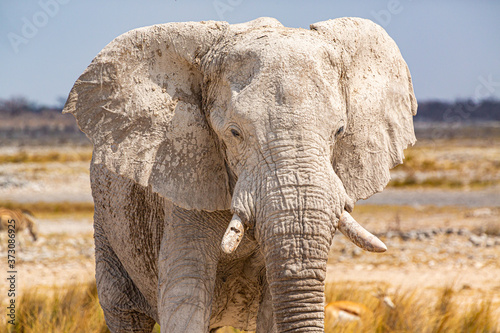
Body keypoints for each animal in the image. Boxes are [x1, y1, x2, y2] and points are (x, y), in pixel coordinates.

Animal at [62, 16, 416, 332]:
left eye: (339, 131)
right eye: (234, 133)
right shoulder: (184, 187)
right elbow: (185, 294)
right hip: (107, 223)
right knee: (123, 311)